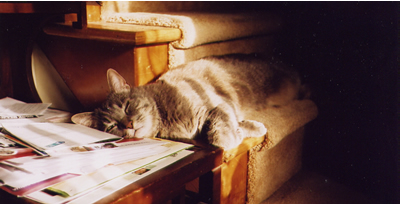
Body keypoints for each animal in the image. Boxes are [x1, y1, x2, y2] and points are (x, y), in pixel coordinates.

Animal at [72, 54, 304, 150]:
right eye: (112, 126)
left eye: (127, 106)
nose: (129, 124)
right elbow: (227, 125)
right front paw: (241, 131)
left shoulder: (218, 103)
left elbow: (219, 125)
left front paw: (232, 135)